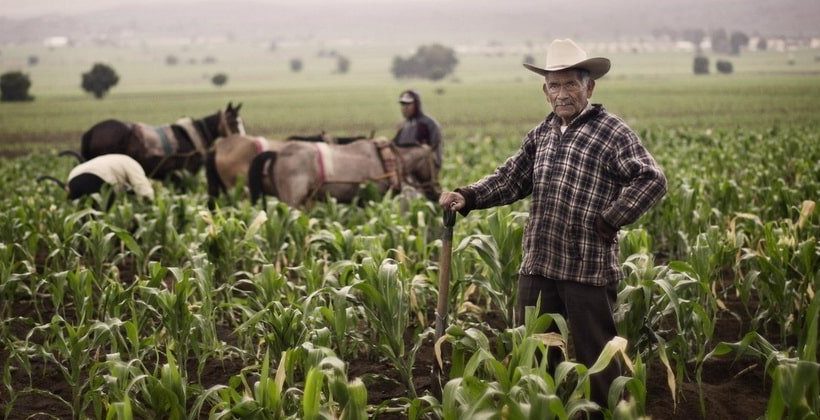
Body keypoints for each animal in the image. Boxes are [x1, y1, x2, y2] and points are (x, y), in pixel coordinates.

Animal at [247, 139, 442, 208]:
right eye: (435, 163)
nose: (436, 192)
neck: (385, 160)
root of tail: (278, 153)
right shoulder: (373, 197)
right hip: (292, 201)